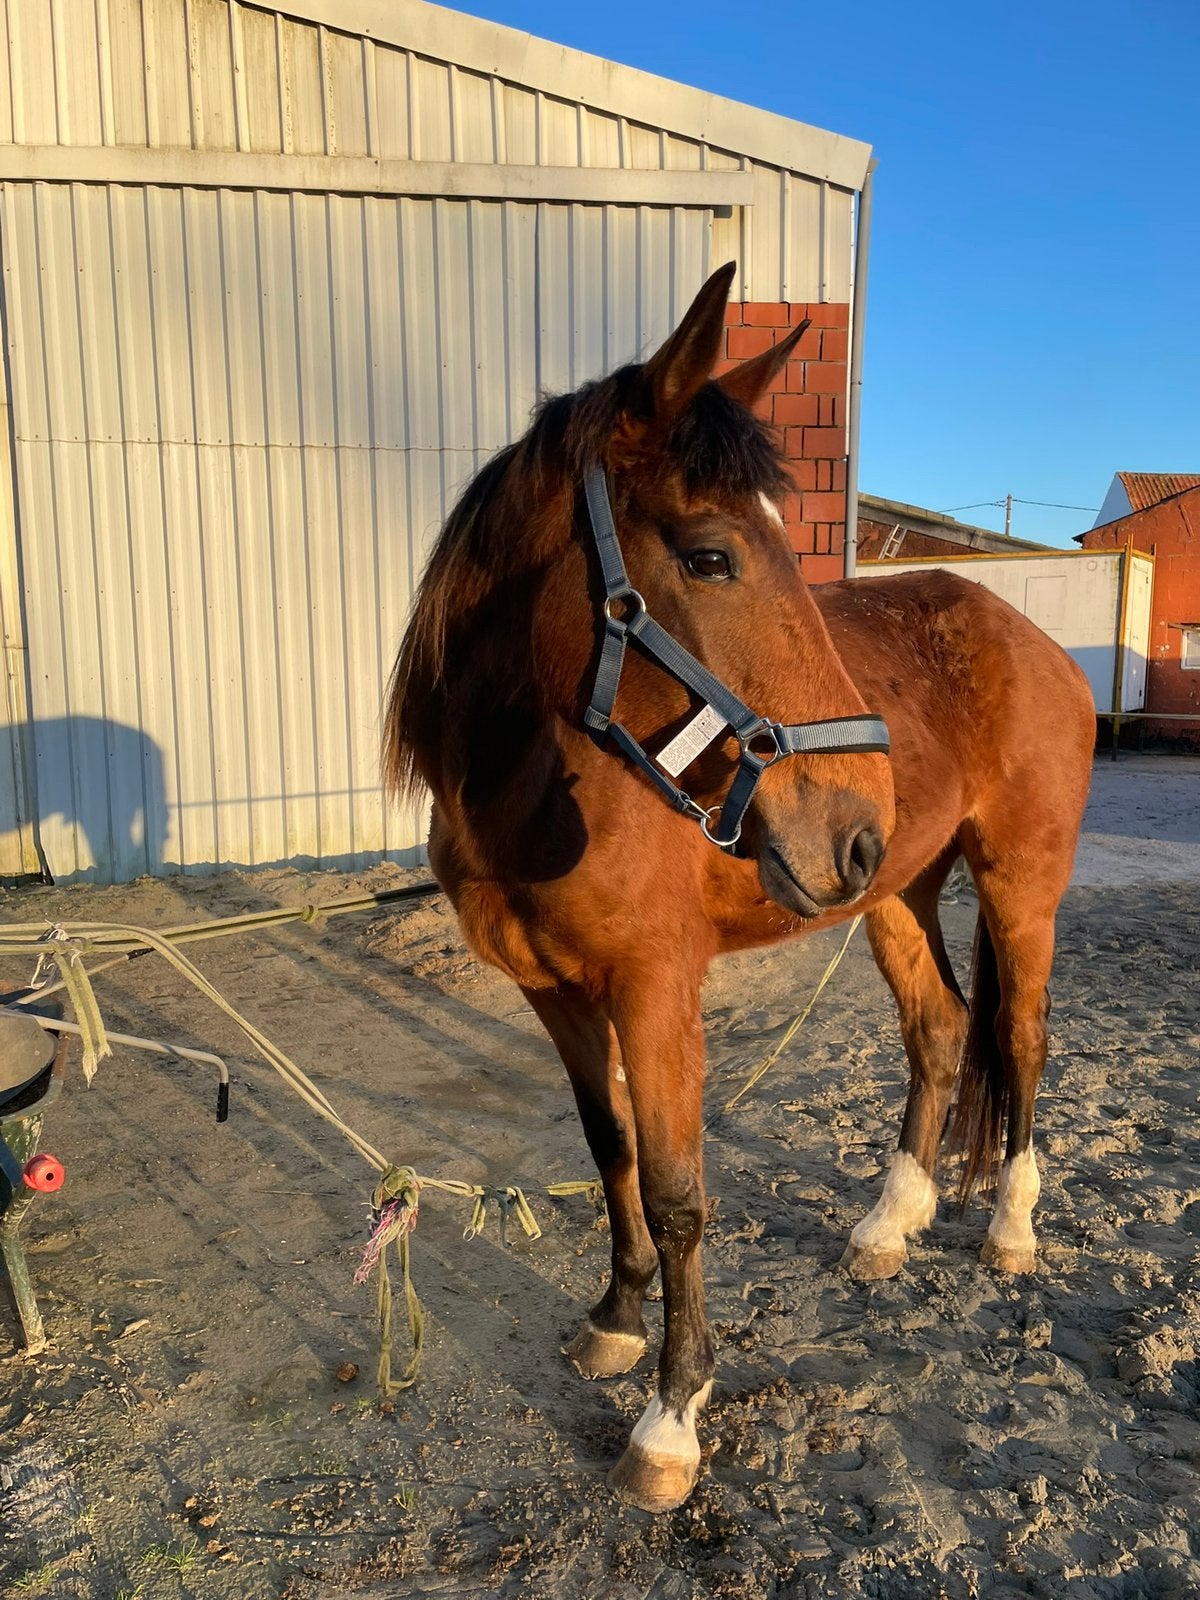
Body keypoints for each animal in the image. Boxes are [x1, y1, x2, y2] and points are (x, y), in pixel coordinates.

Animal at [382, 262, 1095, 1513]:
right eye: (711, 554)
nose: (854, 817)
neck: (539, 784)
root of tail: (1035, 641)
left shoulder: (657, 987)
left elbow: (678, 1190)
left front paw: (671, 1416)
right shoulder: (556, 994)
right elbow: (608, 1147)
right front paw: (615, 1320)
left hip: (1018, 889)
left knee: (1021, 1038)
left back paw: (1009, 1225)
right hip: (895, 896)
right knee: (941, 1030)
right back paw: (888, 1223)